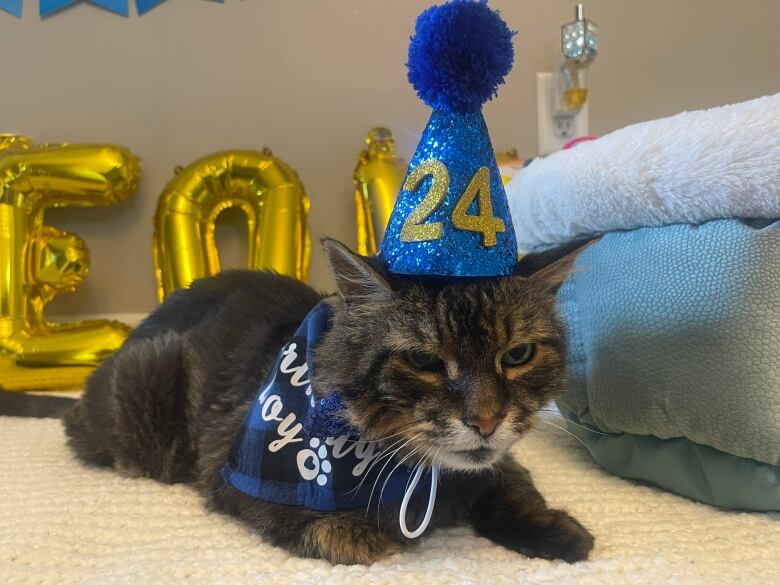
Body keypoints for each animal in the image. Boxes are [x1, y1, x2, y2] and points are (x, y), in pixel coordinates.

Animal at [7, 240, 596, 564]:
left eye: (517, 354)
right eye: (423, 361)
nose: (486, 420)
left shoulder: (496, 463)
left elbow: (512, 487)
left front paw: (556, 530)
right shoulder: (231, 477)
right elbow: (321, 526)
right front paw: (369, 532)